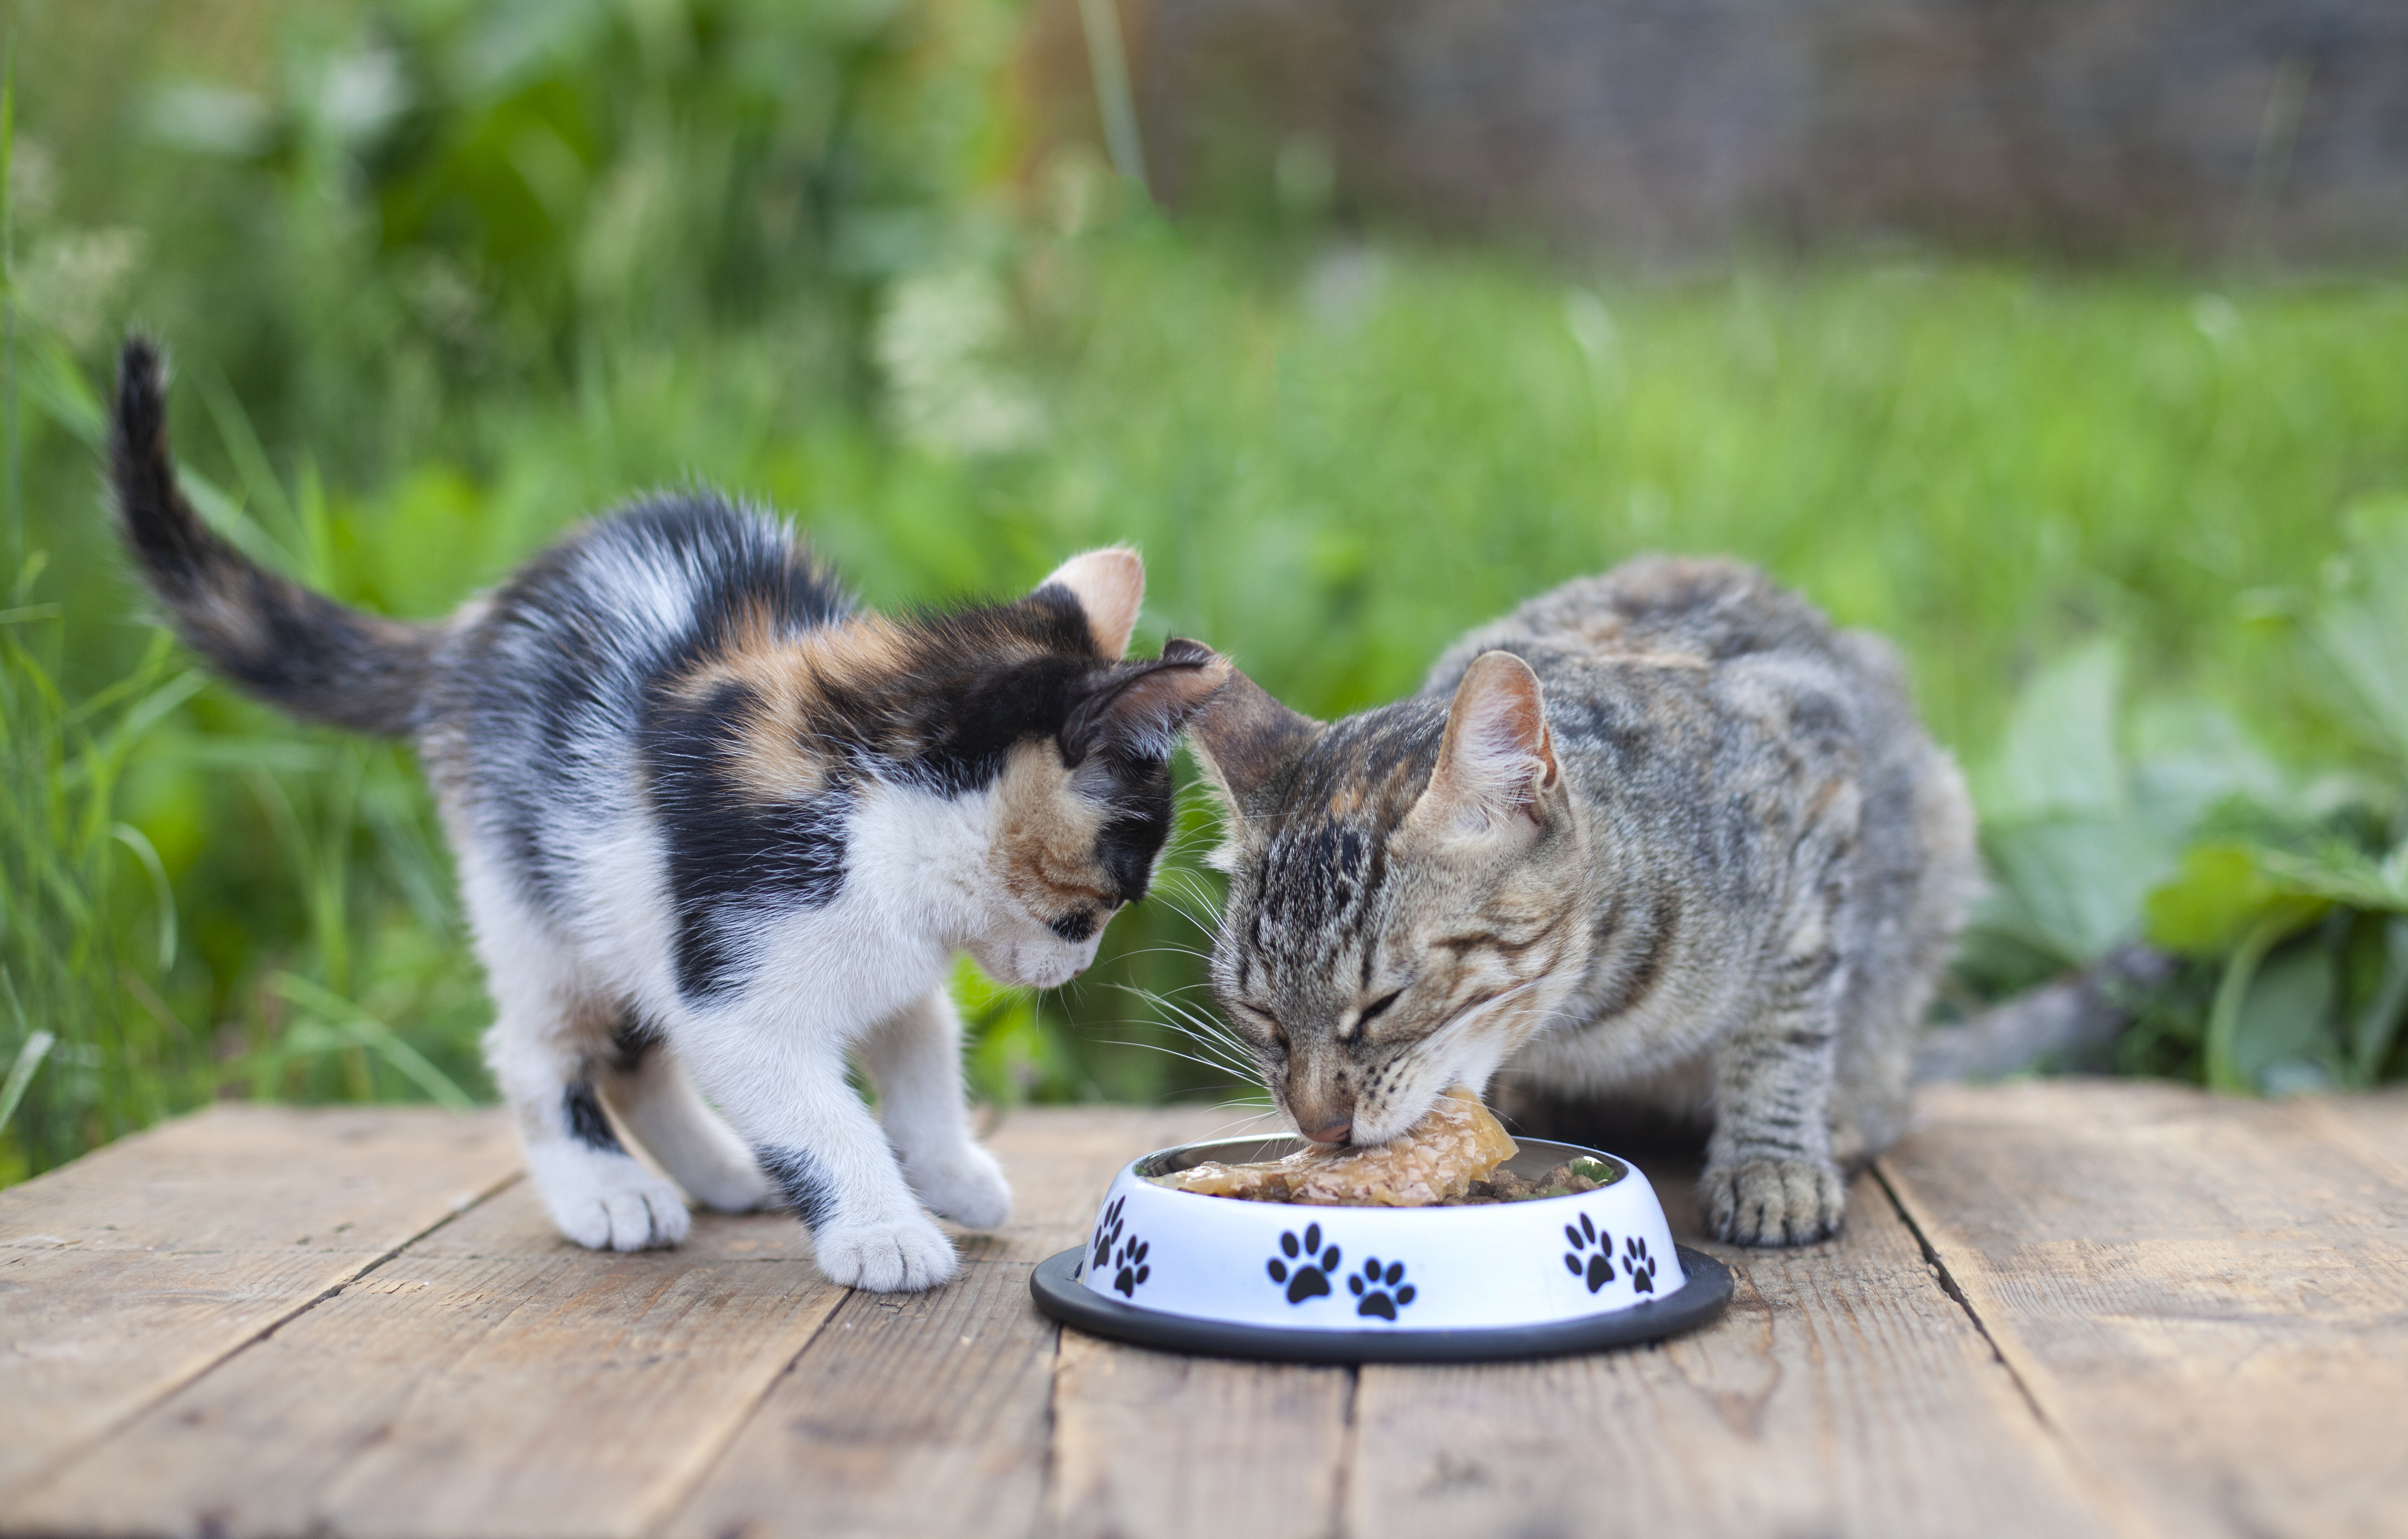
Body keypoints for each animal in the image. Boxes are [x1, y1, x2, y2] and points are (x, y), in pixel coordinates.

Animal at [108, 342, 1223, 1291]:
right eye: (1097, 906)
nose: (1074, 968)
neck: (885, 826)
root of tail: (476, 625)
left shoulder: (874, 971)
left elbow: (921, 1052)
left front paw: (948, 1168)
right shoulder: (738, 970)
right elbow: (821, 1113)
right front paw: (882, 1228)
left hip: (625, 911)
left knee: (641, 1048)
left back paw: (722, 1170)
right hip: (537, 895)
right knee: (537, 1046)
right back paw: (606, 1189)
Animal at [1189, 558, 1974, 1242]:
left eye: (1385, 1002)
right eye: (1261, 1013)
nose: (1320, 1128)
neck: (1585, 1016)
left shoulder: (1816, 794)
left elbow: (1786, 1031)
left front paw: (1772, 1161)